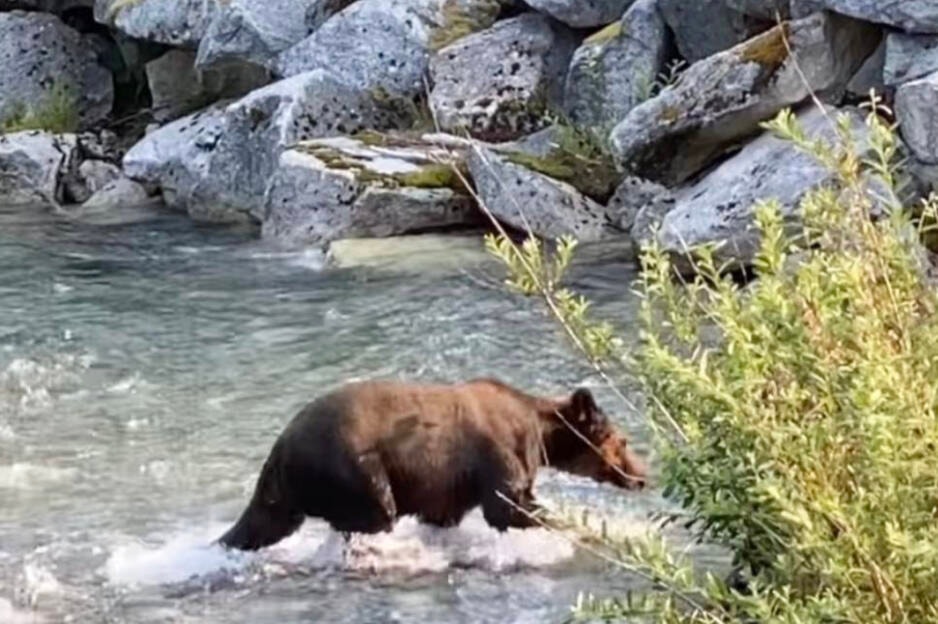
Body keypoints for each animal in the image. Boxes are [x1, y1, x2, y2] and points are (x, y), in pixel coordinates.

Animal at [217, 378, 648, 548]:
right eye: (623, 440)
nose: (643, 475)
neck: (539, 434)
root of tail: (281, 445)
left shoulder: (450, 484)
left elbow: (446, 513)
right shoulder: (497, 452)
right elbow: (509, 507)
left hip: (288, 489)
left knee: (266, 523)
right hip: (350, 464)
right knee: (377, 510)